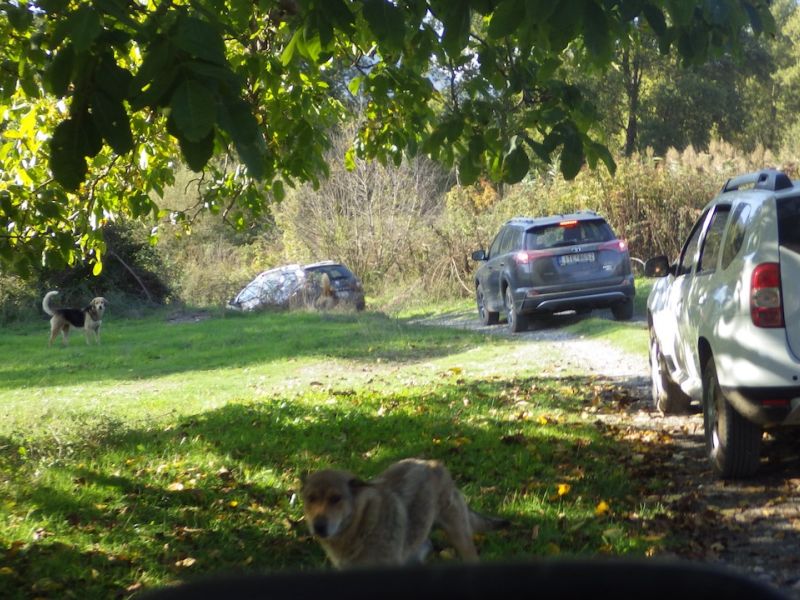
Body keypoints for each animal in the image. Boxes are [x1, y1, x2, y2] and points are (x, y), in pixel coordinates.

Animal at [300, 458, 506, 568]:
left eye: (336, 498)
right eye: (311, 498)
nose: (318, 526)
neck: (361, 525)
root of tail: (434, 464)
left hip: (460, 536)